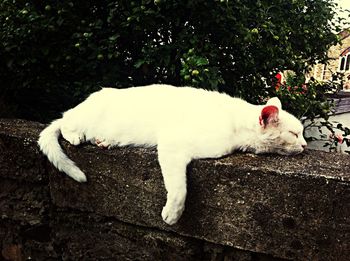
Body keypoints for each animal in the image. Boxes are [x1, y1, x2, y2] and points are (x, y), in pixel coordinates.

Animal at [37, 83, 306, 223]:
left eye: (302, 133)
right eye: (294, 134)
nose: (305, 145)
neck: (236, 125)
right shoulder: (172, 145)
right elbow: (179, 188)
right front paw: (173, 214)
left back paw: (105, 141)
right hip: (81, 117)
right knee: (64, 122)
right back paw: (76, 135)